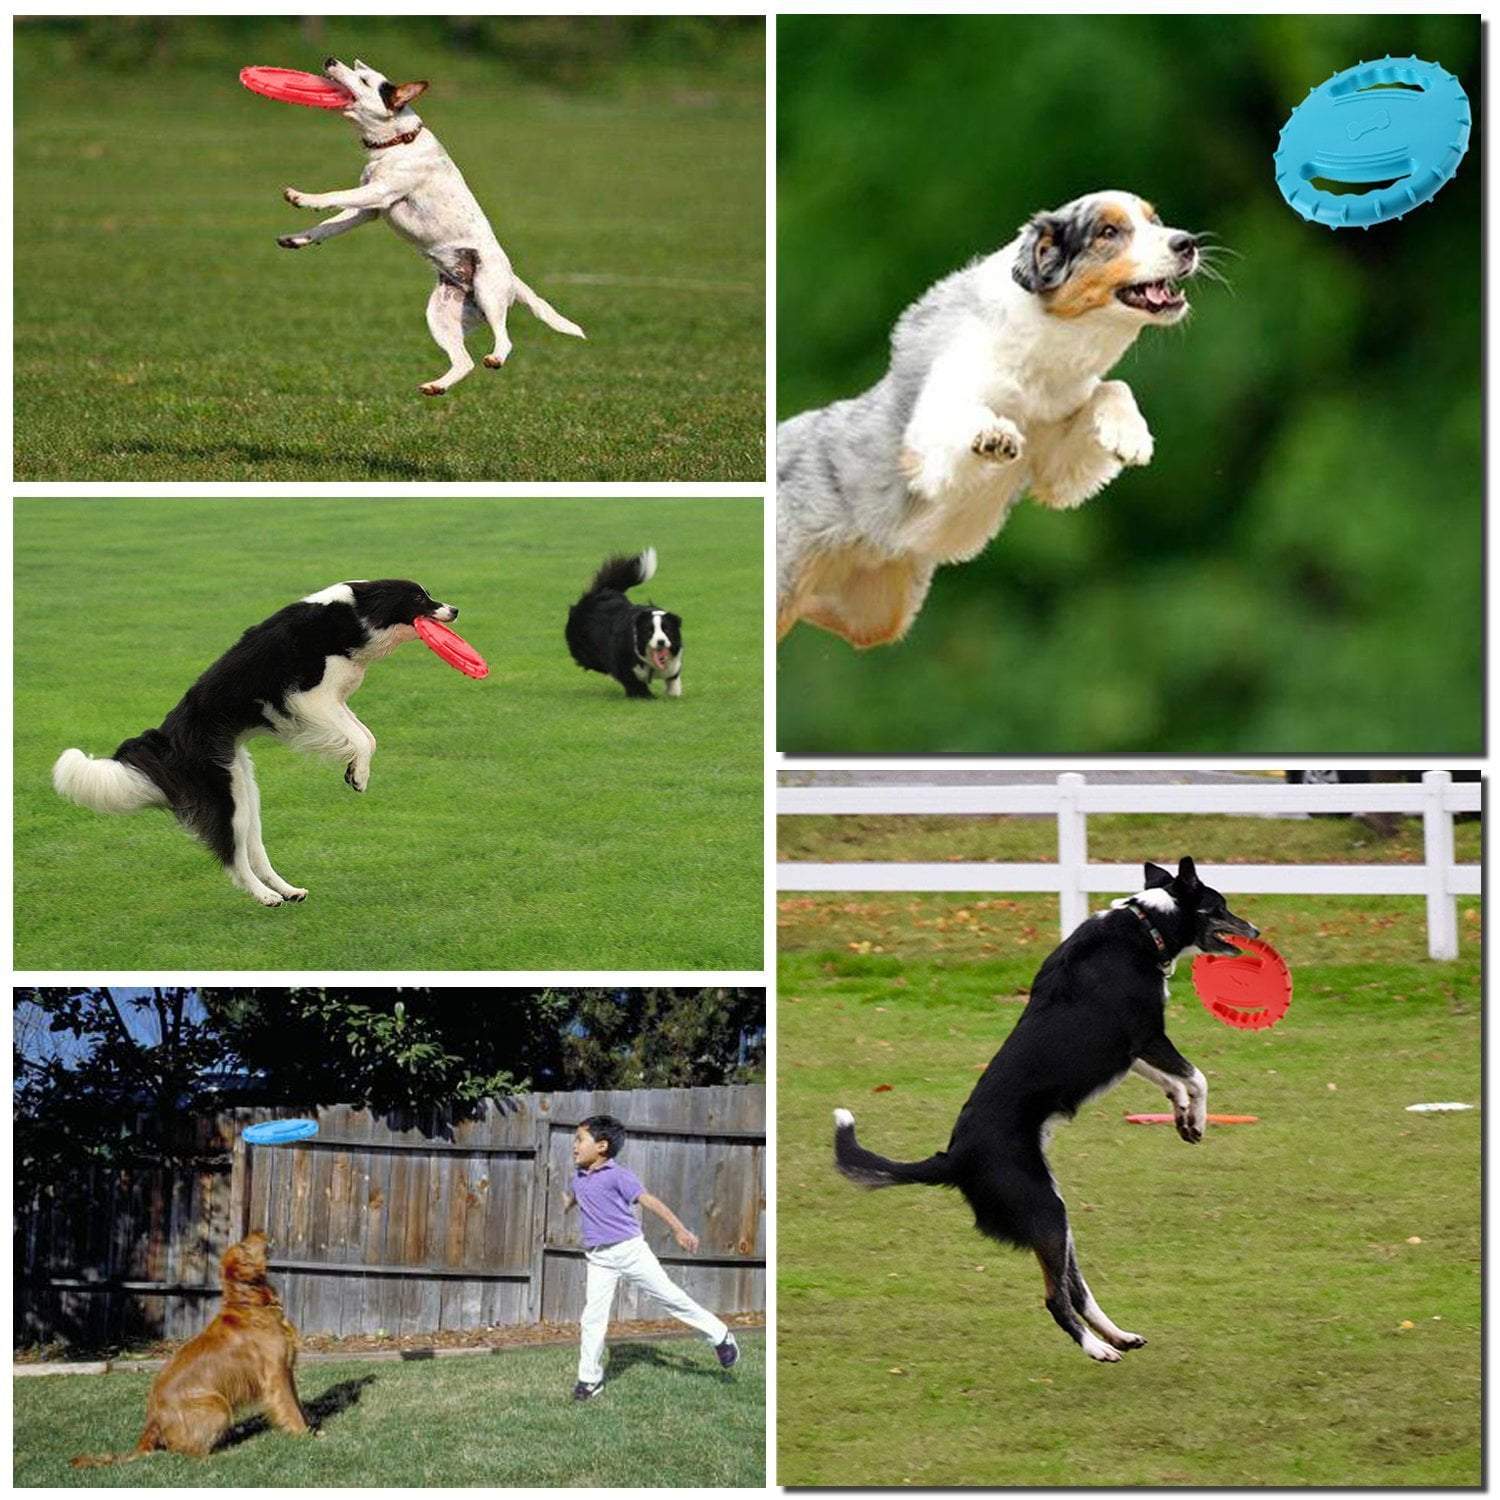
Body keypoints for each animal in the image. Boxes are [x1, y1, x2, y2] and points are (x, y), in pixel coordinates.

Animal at [52, 579, 456, 906]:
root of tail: (167, 738)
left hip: (244, 788)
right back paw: (266, 897)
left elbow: (366, 735)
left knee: (254, 849)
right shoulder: (309, 696)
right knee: (232, 858)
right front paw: (358, 775)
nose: (455, 609)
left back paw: (289, 891)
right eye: (419, 597)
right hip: (223, 794)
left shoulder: (332, 701)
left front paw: (354, 769)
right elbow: (361, 737)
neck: (352, 614)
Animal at [279, 56, 582, 396]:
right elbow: (328, 226)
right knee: (464, 361)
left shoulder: (379, 193)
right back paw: (436, 386)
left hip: (488, 290)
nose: (330, 59)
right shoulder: (368, 211)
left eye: (365, 80)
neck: (397, 142)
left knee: (504, 340)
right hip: (441, 315)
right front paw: (297, 238)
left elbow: (333, 196)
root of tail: (513, 280)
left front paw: (302, 197)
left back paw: (494, 358)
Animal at [780, 190, 1200, 648]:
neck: (1043, 355)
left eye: (1155, 220)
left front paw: (1130, 436)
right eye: (1108, 231)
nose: (1187, 242)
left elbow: (1113, 389)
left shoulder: (1056, 458)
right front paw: (994, 433)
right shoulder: (928, 439)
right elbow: (960, 418)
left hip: (875, 617)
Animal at [840, 858, 1260, 1362]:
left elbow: (1172, 1081)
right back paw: (1098, 1349)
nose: (1256, 930)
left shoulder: (1127, 1053)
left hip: (1055, 1214)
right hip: (1044, 1210)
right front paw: (1194, 1121)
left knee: (1075, 1289)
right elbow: (1197, 1077)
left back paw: (1119, 1336)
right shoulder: (1146, 1036)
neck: (1146, 926)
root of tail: (953, 1158)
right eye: (1220, 906)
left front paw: (1179, 1113)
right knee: (1055, 1298)